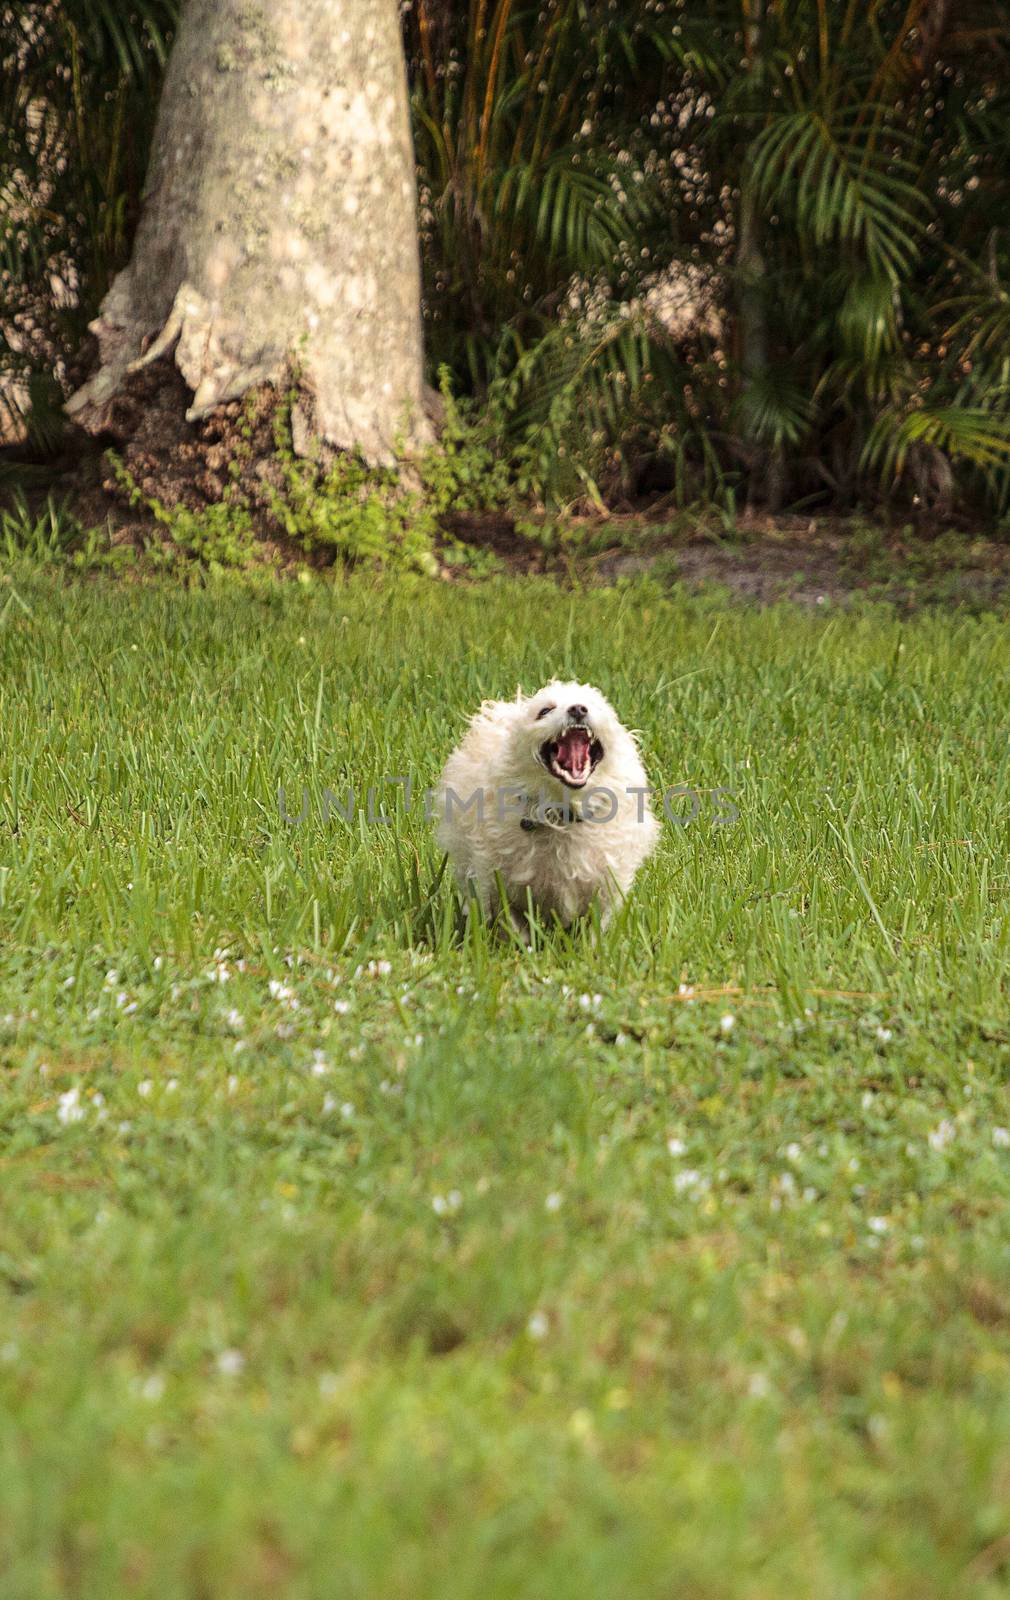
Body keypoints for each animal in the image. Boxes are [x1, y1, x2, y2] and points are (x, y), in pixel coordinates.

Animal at [435, 678, 659, 934]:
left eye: (598, 707)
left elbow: (595, 929)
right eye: (544, 711)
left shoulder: (606, 887)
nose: (578, 709)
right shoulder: (495, 883)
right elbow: (513, 925)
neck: (562, 814)